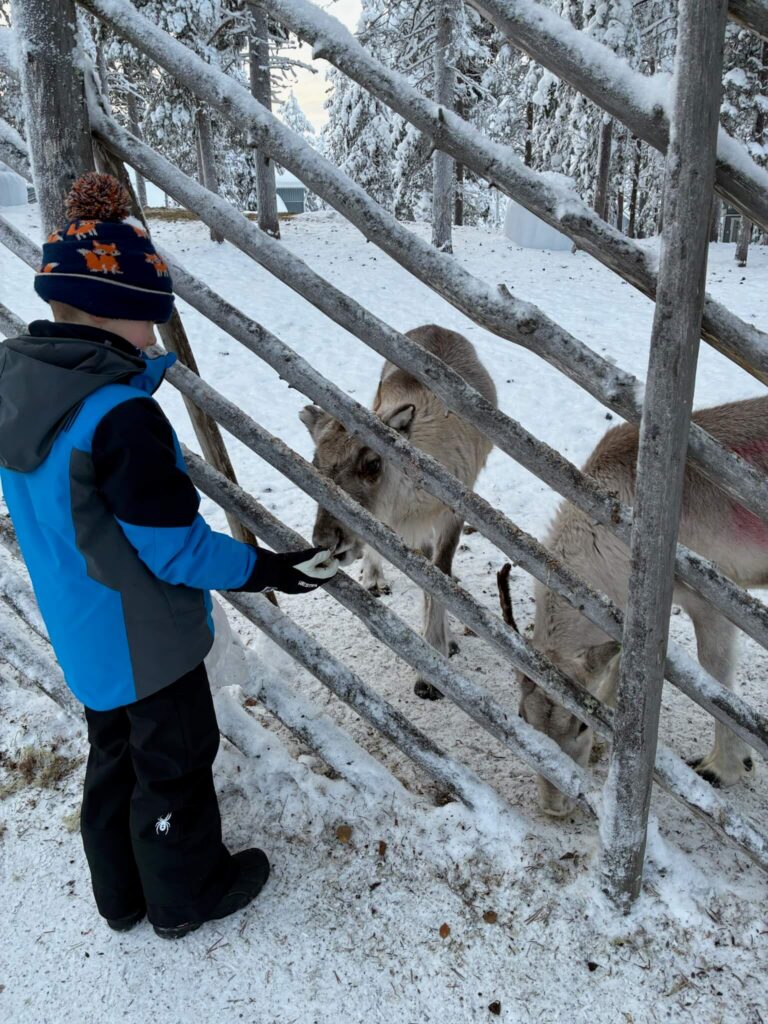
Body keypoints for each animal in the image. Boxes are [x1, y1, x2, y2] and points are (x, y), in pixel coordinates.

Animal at [300, 324, 497, 700]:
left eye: (373, 463)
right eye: (315, 463)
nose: (327, 541)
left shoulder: (452, 516)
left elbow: (438, 577)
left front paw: (436, 661)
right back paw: (374, 578)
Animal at [502, 396, 768, 817]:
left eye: (580, 725)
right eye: (521, 716)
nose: (553, 806)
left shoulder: (714, 598)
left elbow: (718, 680)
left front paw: (725, 767)